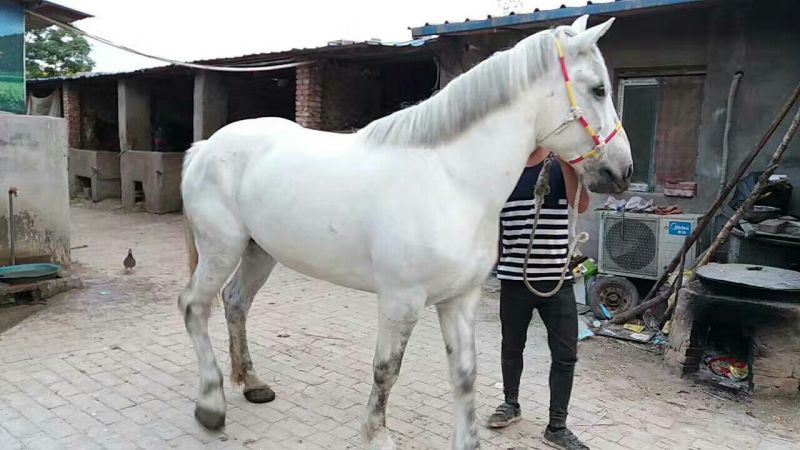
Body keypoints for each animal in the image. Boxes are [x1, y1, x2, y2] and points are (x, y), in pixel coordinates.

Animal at [179, 14, 631, 449]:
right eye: (598, 89)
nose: (622, 171)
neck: (452, 180)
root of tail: (205, 148)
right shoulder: (401, 300)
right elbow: (386, 370)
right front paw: (376, 436)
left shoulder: (459, 300)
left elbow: (465, 373)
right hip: (222, 248)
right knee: (194, 306)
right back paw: (211, 405)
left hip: (259, 251)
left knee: (235, 303)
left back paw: (252, 384)